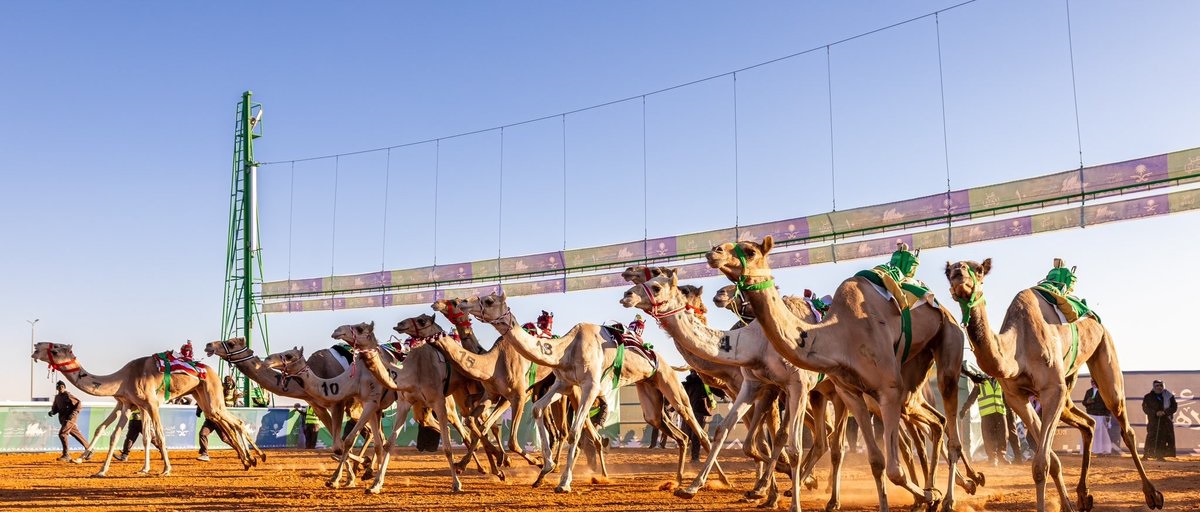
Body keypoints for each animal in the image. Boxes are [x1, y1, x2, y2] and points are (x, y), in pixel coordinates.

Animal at [31, 342, 263, 477]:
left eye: (55, 349)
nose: (35, 347)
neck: (122, 378)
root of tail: (210, 370)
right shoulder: (129, 405)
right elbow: (120, 435)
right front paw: (103, 470)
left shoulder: (151, 404)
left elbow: (158, 434)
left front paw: (166, 469)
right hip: (203, 397)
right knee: (226, 421)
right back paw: (249, 460)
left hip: (212, 392)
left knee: (235, 422)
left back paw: (256, 457)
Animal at [458, 292, 730, 493]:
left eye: (489, 300)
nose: (462, 302)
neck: (566, 349)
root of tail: (665, 362)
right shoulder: (563, 384)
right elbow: (536, 409)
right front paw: (544, 470)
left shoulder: (589, 387)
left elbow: (575, 431)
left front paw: (563, 482)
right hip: (650, 396)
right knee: (676, 433)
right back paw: (678, 480)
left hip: (672, 387)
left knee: (698, 431)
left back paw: (718, 481)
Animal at [707, 237, 966, 512]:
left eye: (750, 251)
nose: (715, 252)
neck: (839, 334)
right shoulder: (850, 392)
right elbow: (877, 461)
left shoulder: (887, 390)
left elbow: (895, 471)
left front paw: (930, 495)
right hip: (911, 372)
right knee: (934, 421)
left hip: (947, 341)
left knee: (947, 421)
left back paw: (948, 498)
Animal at [945, 258, 1163, 511]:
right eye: (947, 271)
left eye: (978, 270)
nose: (958, 273)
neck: (1017, 349)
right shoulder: (1017, 398)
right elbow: (1053, 460)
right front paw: (1067, 504)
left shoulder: (1052, 390)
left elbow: (1041, 464)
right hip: (1068, 389)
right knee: (1089, 424)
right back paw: (1083, 495)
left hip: (1105, 351)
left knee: (1124, 424)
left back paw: (1152, 495)